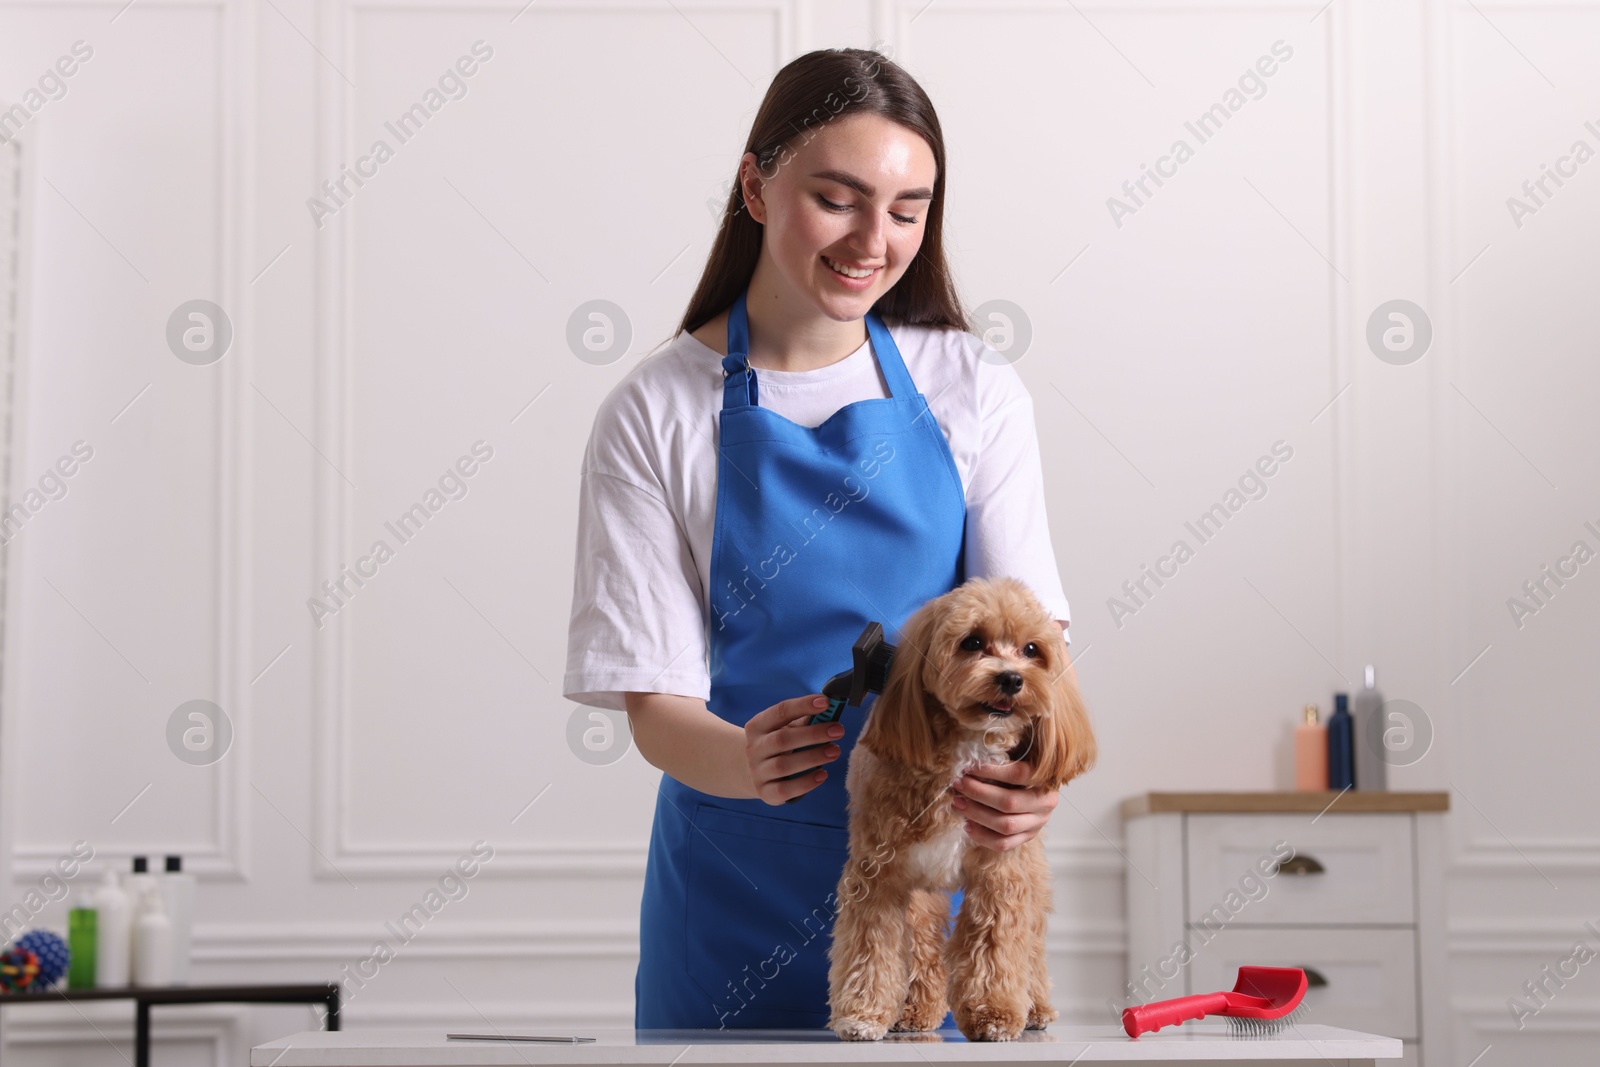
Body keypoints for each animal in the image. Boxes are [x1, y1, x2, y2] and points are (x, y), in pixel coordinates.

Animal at [825, 575, 1100, 1043]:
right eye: (972, 642)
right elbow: (872, 945)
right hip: (922, 889)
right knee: (921, 940)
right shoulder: (878, 874)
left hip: (1030, 869)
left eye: (1031, 650)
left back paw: (1036, 1006)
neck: (966, 748)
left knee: (1031, 943)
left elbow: (995, 944)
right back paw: (915, 1010)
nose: (1011, 679)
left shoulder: (1000, 872)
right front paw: (863, 1013)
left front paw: (995, 1014)